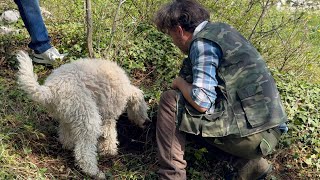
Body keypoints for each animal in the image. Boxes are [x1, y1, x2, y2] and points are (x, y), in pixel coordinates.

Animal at [17, 50, 151, 179]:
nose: (146, 122)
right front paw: (109, 151)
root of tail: (51, 89)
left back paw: (69, 146)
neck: (127, 90)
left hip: (69, 115)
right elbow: (109, 134)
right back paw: (94, 172)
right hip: (87, 118)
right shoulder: (109, 115)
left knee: (65, 137)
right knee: (83, 153)